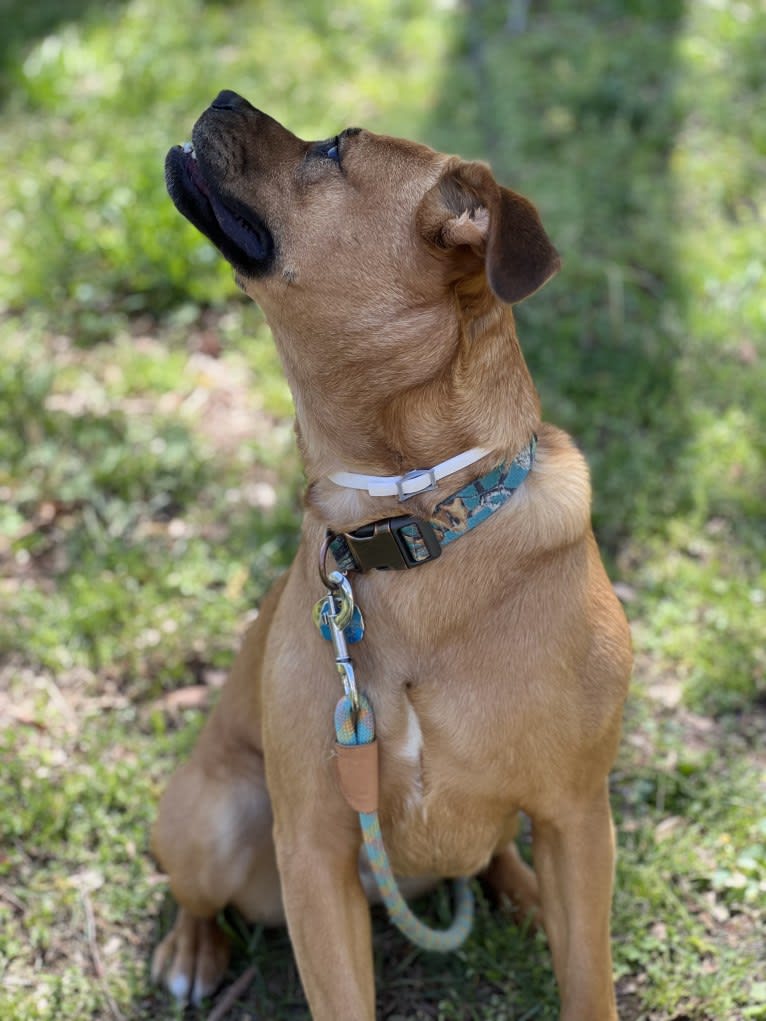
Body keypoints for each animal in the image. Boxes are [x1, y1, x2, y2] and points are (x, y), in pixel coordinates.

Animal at [153, 89, 633, 1021]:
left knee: (495, 850)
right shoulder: (314, 850)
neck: (412, 525)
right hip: (214, 815)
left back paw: (522, 893)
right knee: (197, 895)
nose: (222, 95)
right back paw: (193, 950)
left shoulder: (577, 816)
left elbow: (588, 981)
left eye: (333, 149)